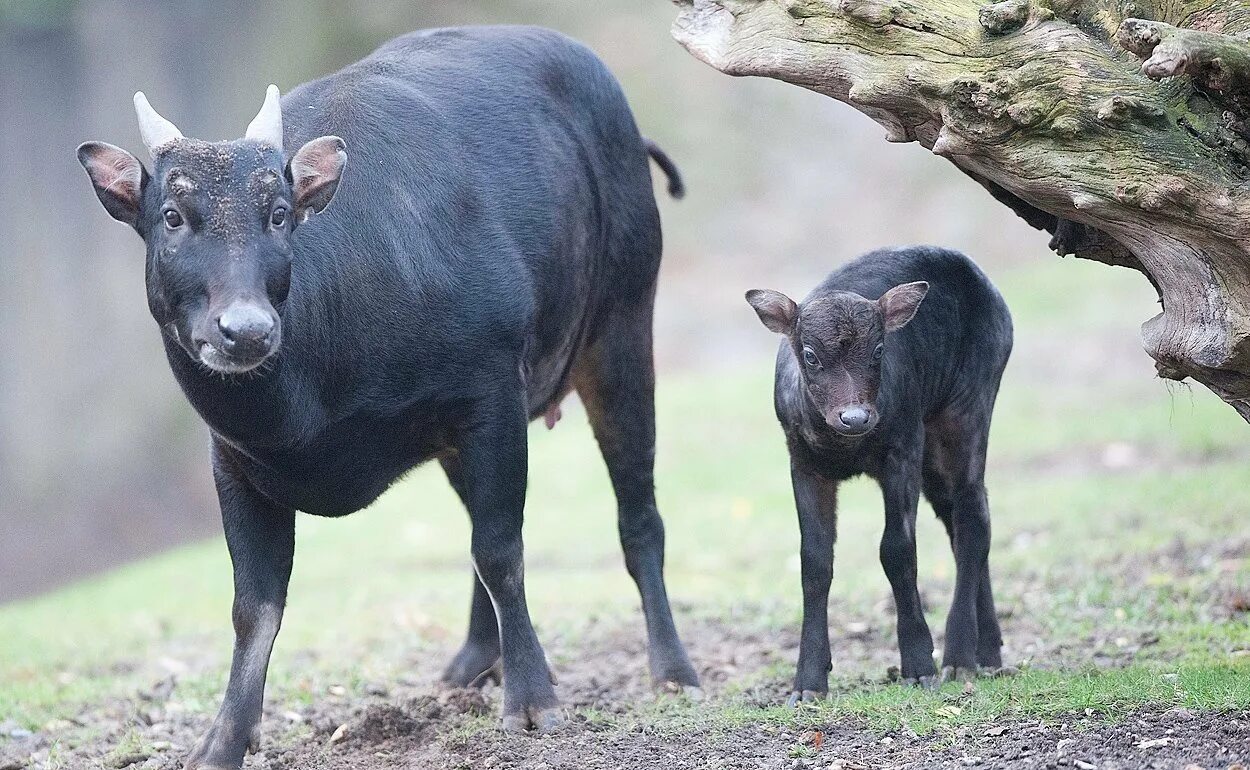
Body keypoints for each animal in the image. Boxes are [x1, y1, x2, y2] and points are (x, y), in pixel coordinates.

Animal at [75, 25, 705, 770]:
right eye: (171, 215)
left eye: (279, 213)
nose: (245, 330)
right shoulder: (233, 461)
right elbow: (254, 608)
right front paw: (224, 739)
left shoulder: (490, 395)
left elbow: (501, 549)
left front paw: (533, 700)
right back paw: (472, 663)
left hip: (622, 327)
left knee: (636, 514)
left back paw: (672, 670)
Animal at [745, 246, 1010, 705]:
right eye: (810, 355)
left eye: (879, 350)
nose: (855, 417)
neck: (845, 447)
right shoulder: (803, 463)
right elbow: (814, 561)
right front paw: (808, 683)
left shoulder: (902, 449)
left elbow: (897, 549)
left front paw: (919, 667)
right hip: (932, 453)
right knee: (960, 522)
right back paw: (989, 651)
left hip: (967, 406)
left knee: (973, 516)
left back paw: (959, 657)